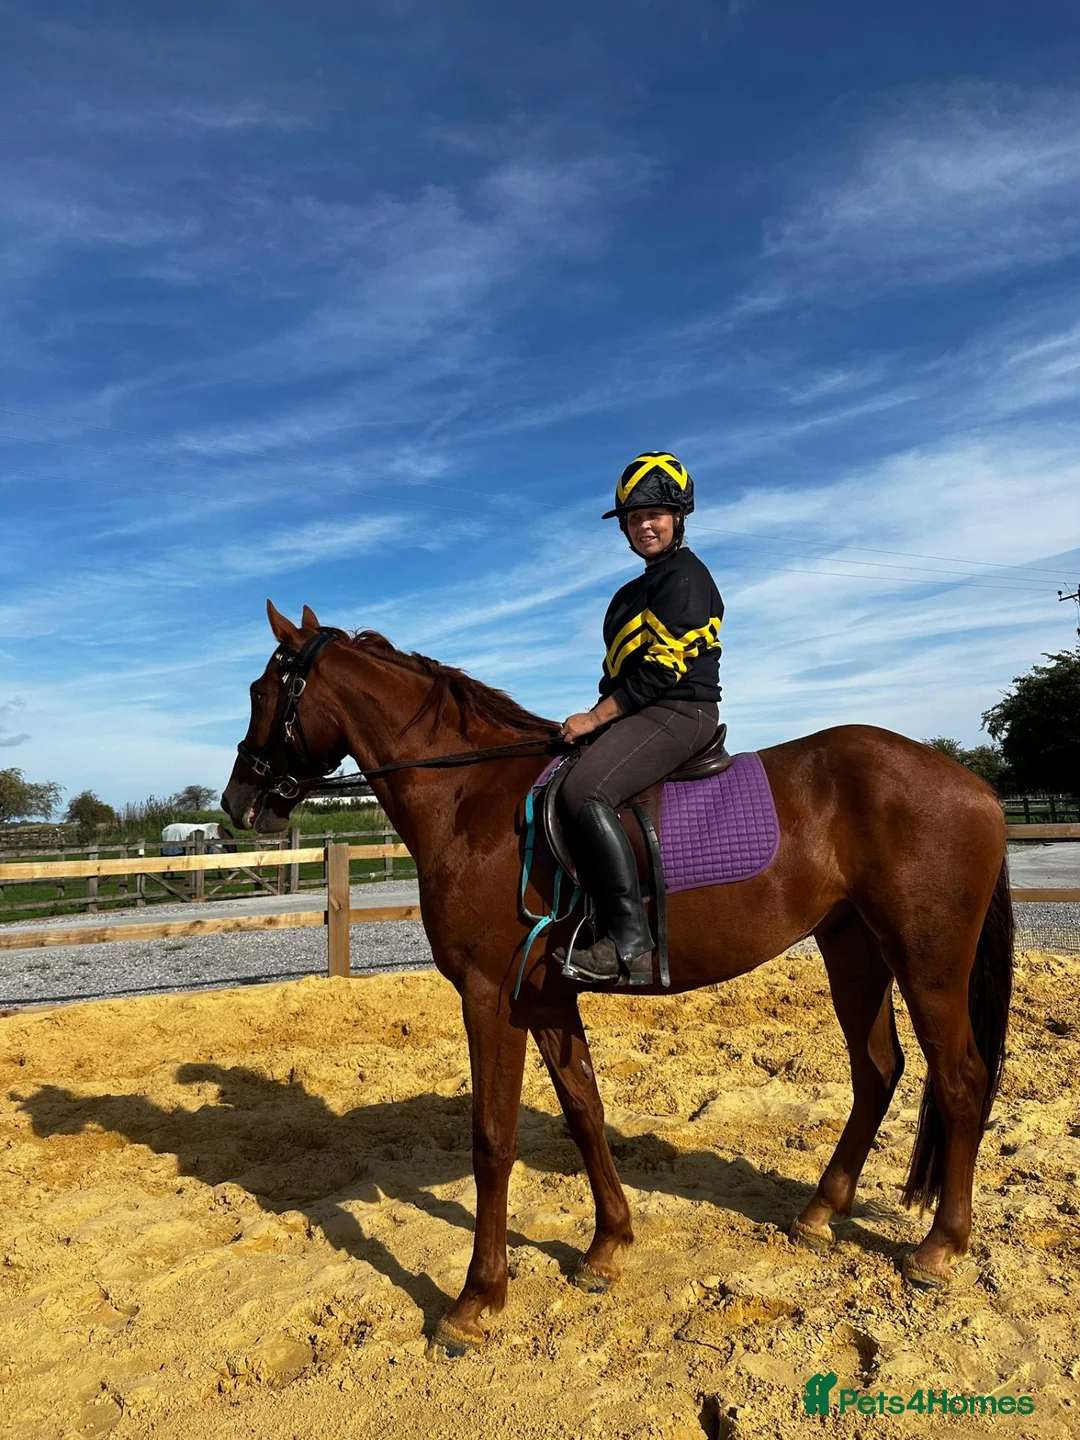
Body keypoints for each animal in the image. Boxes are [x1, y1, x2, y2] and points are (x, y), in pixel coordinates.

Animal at [222, 602, 1013, 1354]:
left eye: (262, 691)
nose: (234, 803)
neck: (473, 796)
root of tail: (975, 787)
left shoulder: (489, 996)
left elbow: (492, 1139)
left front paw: (476, 1301)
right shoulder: (544, 998)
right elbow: (584, 1110)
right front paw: (607, 1246)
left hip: (928, 962)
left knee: (961, 1080)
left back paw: (938, 1248)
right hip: (854, 950)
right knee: (878, 1070)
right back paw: (820, 1213)